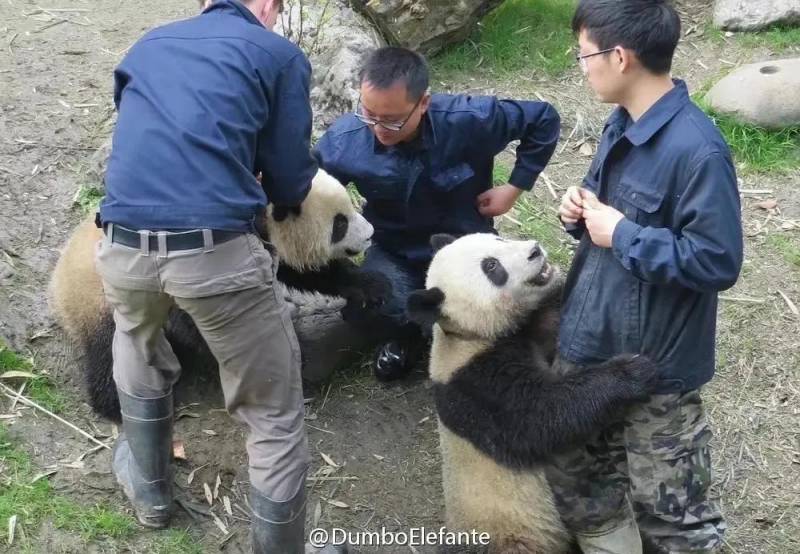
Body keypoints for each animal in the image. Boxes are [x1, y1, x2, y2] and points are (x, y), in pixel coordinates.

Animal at [49, 168, 388, 418]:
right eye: (339, 225)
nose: (370, 234)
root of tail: (57, 285)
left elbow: (303, 271)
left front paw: (371, 285)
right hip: (104, 298)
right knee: (113, 351)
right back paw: (118, 403)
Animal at [410, 232, 660, 552]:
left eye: (498, 237)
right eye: (492, 267)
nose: (534, 250)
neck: (469, 334)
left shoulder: (535, 326)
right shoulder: (477, 386)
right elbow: (542, 415)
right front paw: (633, 371)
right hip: (512, 534)